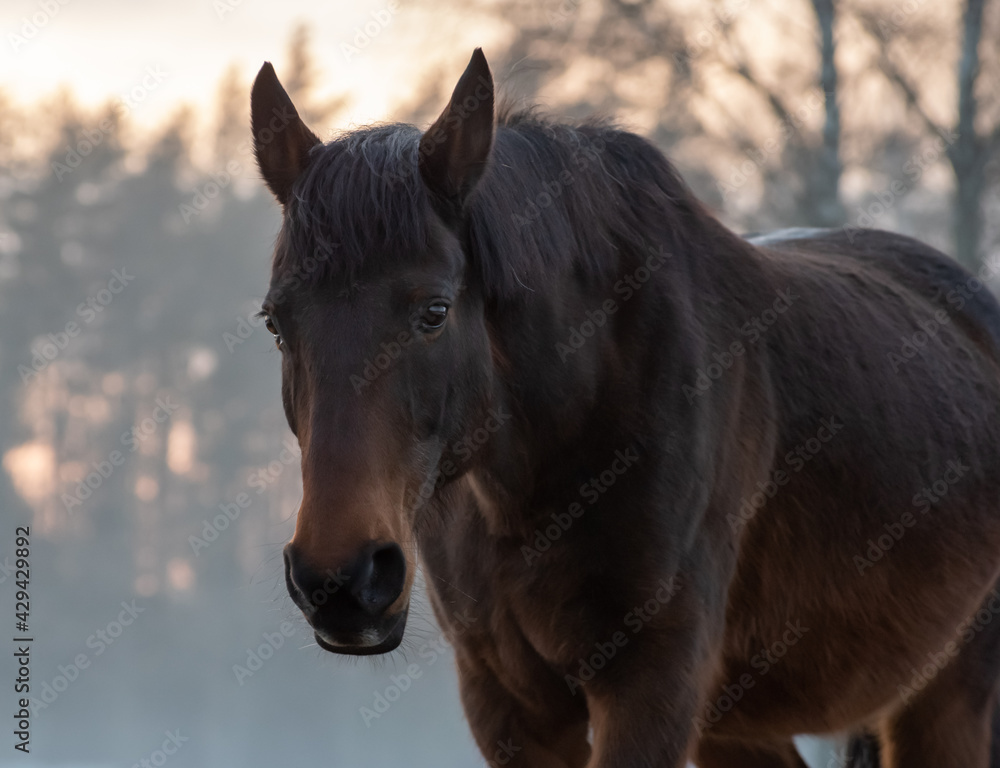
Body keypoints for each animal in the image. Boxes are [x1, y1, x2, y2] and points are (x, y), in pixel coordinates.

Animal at [249, 48, 1000, 767]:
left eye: (434, 312)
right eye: (276, 324)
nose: (341, 580)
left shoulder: (650, 685)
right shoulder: (507, 706)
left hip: (945, 700)